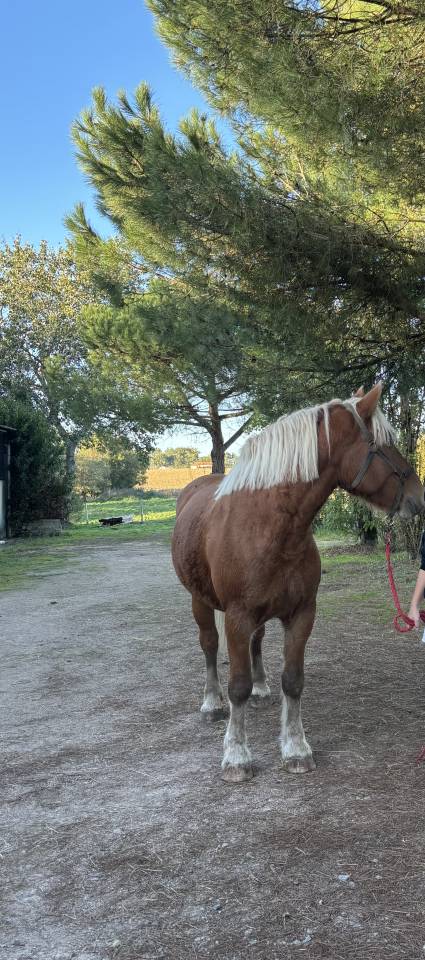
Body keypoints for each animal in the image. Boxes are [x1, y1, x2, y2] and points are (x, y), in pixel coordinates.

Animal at [171, 384, 424, 783]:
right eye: (385, 445)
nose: (418, 498)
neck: (269, 526)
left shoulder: (302, 614)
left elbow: (293, 680)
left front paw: (295, 748)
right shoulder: (237, 616)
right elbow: (237, 686)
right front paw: (236, 756)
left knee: (257, 645)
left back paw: (261, 688)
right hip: (201, 601)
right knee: (210, 646)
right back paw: (212, 703)